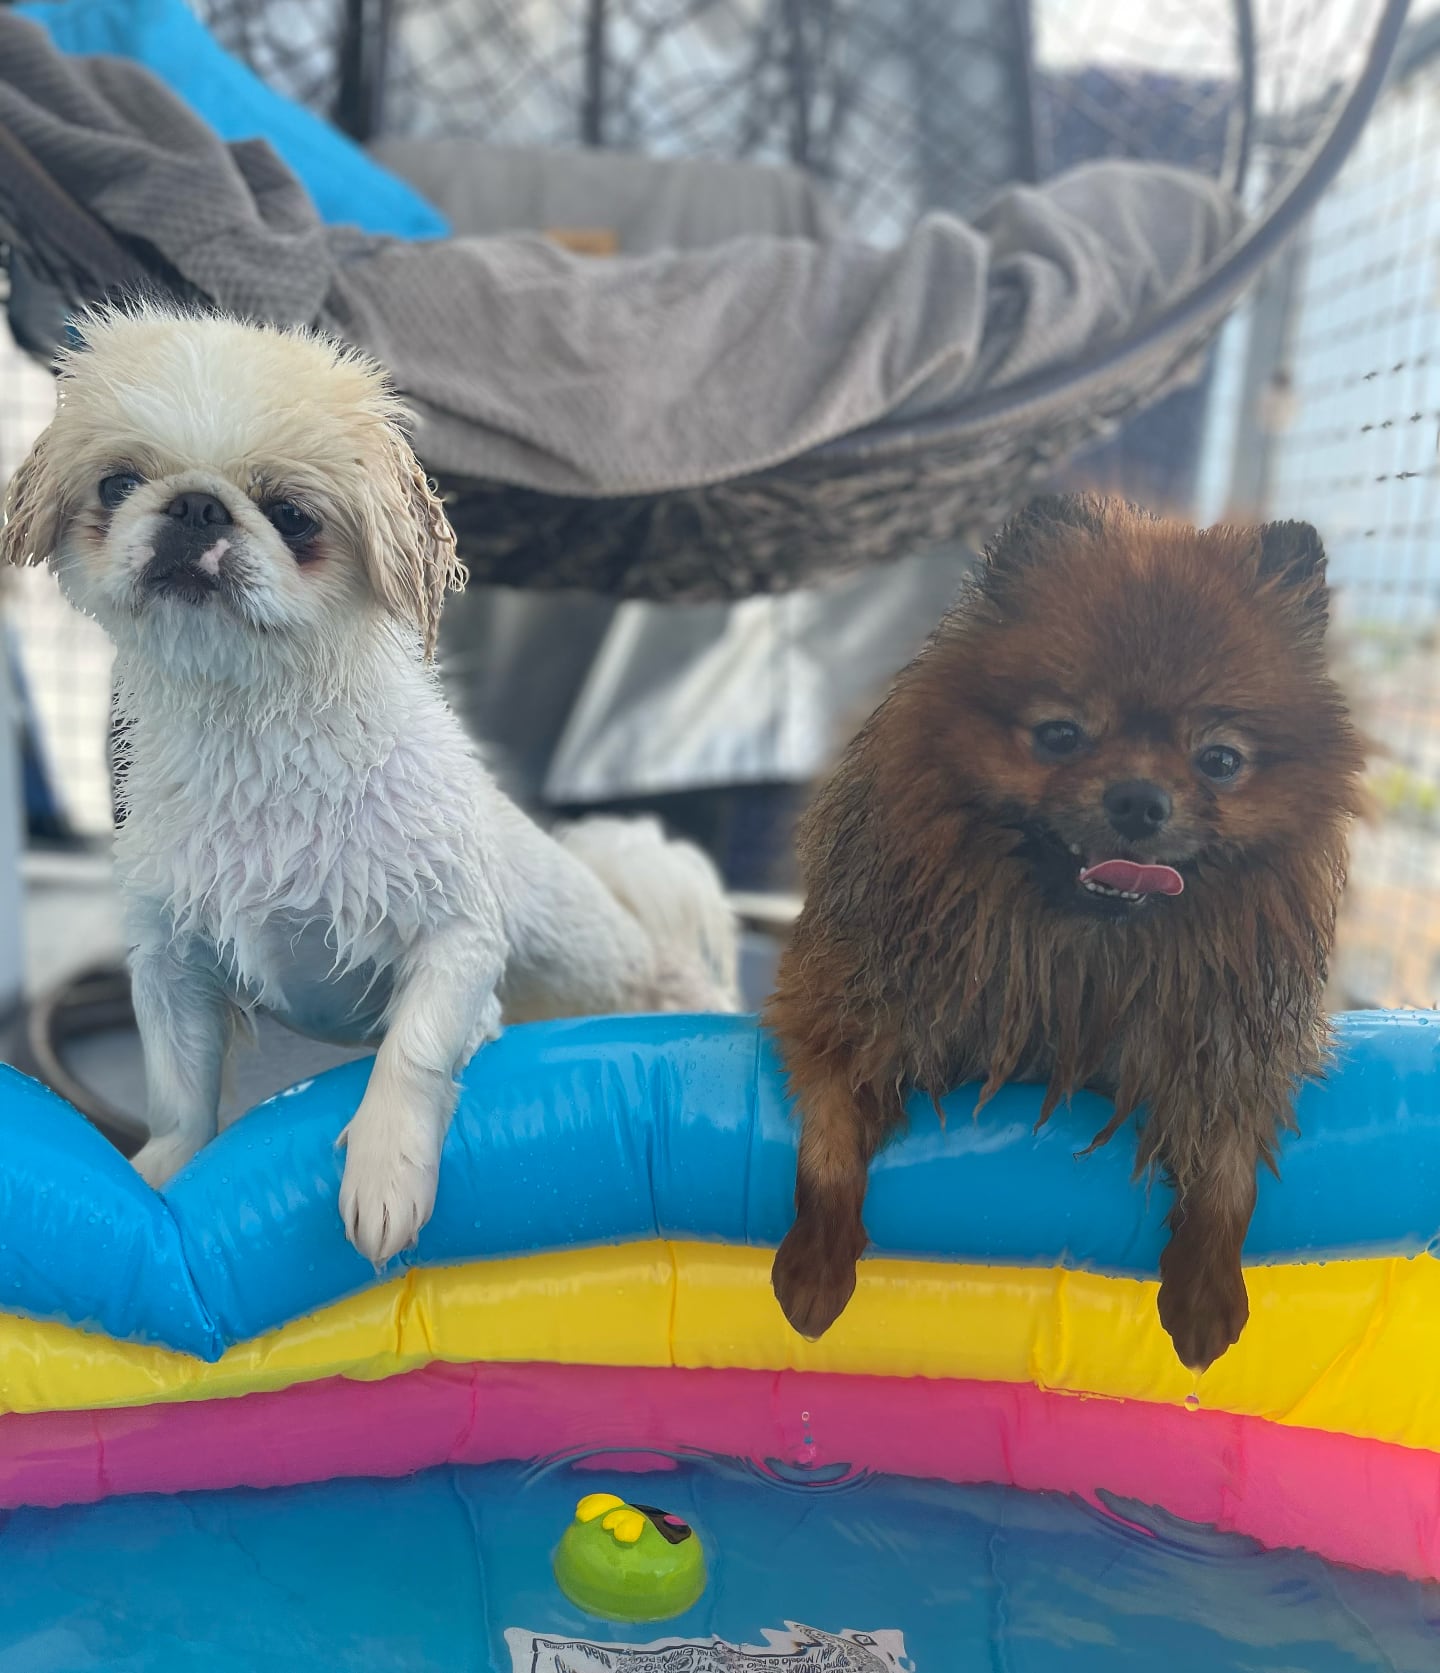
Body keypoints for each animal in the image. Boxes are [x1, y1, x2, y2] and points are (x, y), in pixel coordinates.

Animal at [0, 307, 735, 1258]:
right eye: (117, 484)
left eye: (292, 516)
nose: (195, 502)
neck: (255, 731)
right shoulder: (172, 965)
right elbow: (178, 1090)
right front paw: (161, 1179)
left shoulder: (458, 938)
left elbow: (411, 1054)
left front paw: (385, 1175)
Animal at [762, 488, 1358, 1365]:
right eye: (1060, 735)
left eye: (1219, 760)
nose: (1140, 799)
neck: (1082, 951)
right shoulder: (853, 1010)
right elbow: (831, 1133)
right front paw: (815, 1263)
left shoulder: (1221, 1051)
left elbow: (1227, 1165)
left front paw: (1206, 1291)